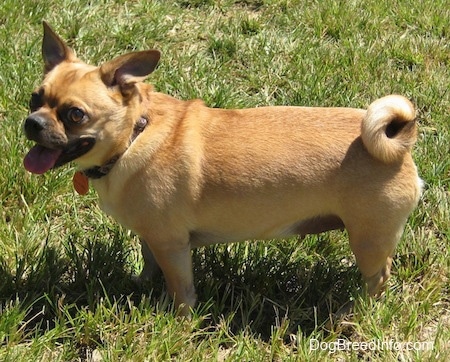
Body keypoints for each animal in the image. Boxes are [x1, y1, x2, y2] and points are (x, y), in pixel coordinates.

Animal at [22, 23, 422, 316]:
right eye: (34, 98)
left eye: (75, 115)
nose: (32, 122)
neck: (134, 134)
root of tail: (398, 142)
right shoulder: (153, 236)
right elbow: (149, 261)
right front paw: (141, 285)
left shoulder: (172, 245)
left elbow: (180, 287)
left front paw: (180, 319)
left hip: (368, 239)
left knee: (379, 277)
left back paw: (358, 313)